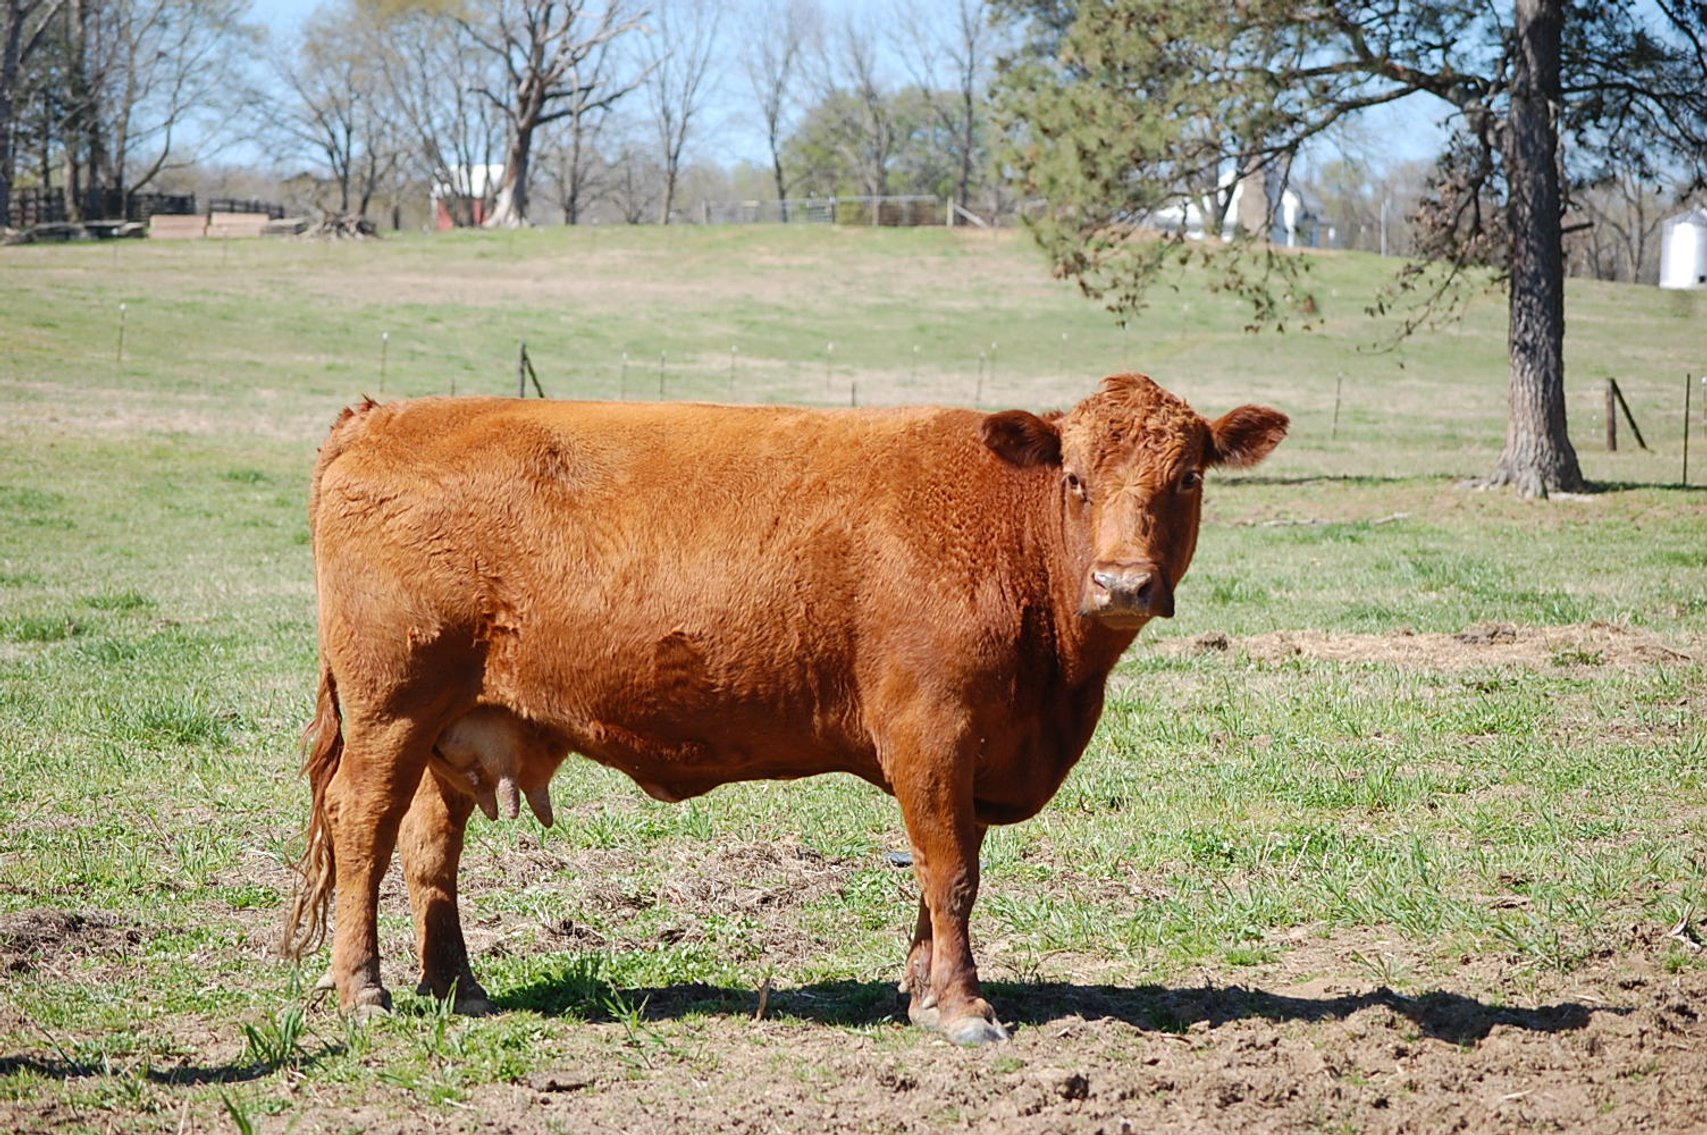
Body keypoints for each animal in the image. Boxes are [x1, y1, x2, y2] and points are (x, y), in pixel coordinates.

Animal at [279, 374, 1287, 1046]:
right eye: (1075, 477)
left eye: (1187, 477)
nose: (1122, 583)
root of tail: (384, 412)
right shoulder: (930, 732)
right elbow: (952, 870)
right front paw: (963, 1009)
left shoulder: (964, 754)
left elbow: (936, 874)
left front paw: (921, 991)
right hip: (391, 706)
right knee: (365, 825)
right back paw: (363, 990)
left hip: (456, 721)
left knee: (429, 846)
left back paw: (458, 986)